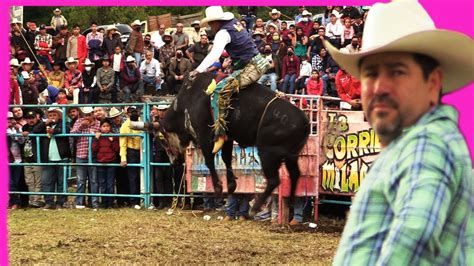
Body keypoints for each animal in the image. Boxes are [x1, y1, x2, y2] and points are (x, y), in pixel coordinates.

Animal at [133, 73, 312, 216]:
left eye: (162, 140)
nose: (174, 163)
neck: (188, 99)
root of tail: (304, 120)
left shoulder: (205, 134)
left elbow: (209, 159)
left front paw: (219, 187)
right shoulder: (227, 136)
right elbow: (226, 157)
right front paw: (231, 184)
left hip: (268, 152)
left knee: (274, 180)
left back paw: (255, 208)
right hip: (291, 155)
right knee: (295, 174)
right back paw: (290, 202)